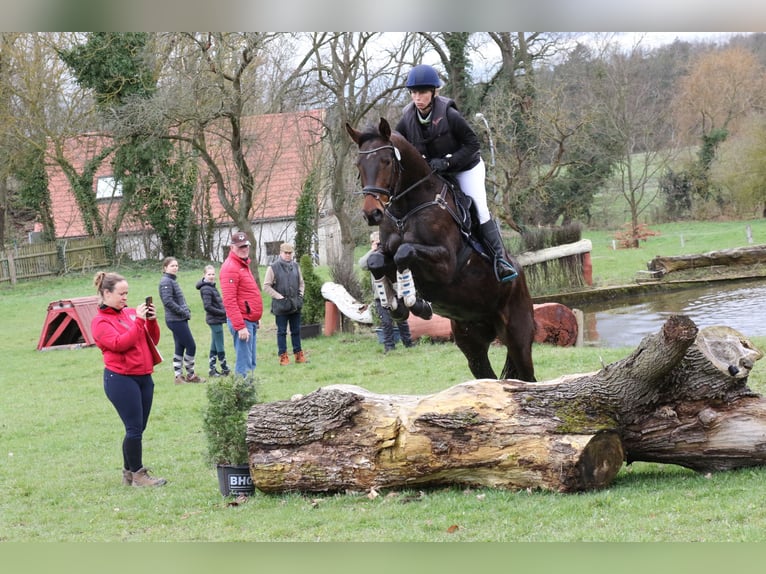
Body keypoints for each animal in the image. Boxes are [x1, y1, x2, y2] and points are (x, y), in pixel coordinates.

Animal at [348, 117, 540, 384]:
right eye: (359, 164)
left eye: (386, 161)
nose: (372, 213)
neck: (407, 210)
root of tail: (520, 277)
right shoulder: (385, 252)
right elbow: (377, 261)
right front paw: (393, 302)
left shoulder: (446, 264)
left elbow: (404, 252)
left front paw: (413, 300)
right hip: (471, 340)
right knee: (485, 375)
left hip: (517, 336)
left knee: (527, 376)